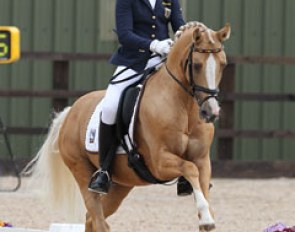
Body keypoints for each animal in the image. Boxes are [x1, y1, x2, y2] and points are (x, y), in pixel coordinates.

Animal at [27, 21, 231, 230]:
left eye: (223, 64)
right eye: (197, 65)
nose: (211, 111)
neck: (185, 109)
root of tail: (71, 112)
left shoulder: (202, 160)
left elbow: (200, 179)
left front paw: (206, 215)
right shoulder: (160, 162)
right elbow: (189, 168)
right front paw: (206, 218)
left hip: (121, 184)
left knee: (91, 219)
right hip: (82, 172)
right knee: (98, 219)